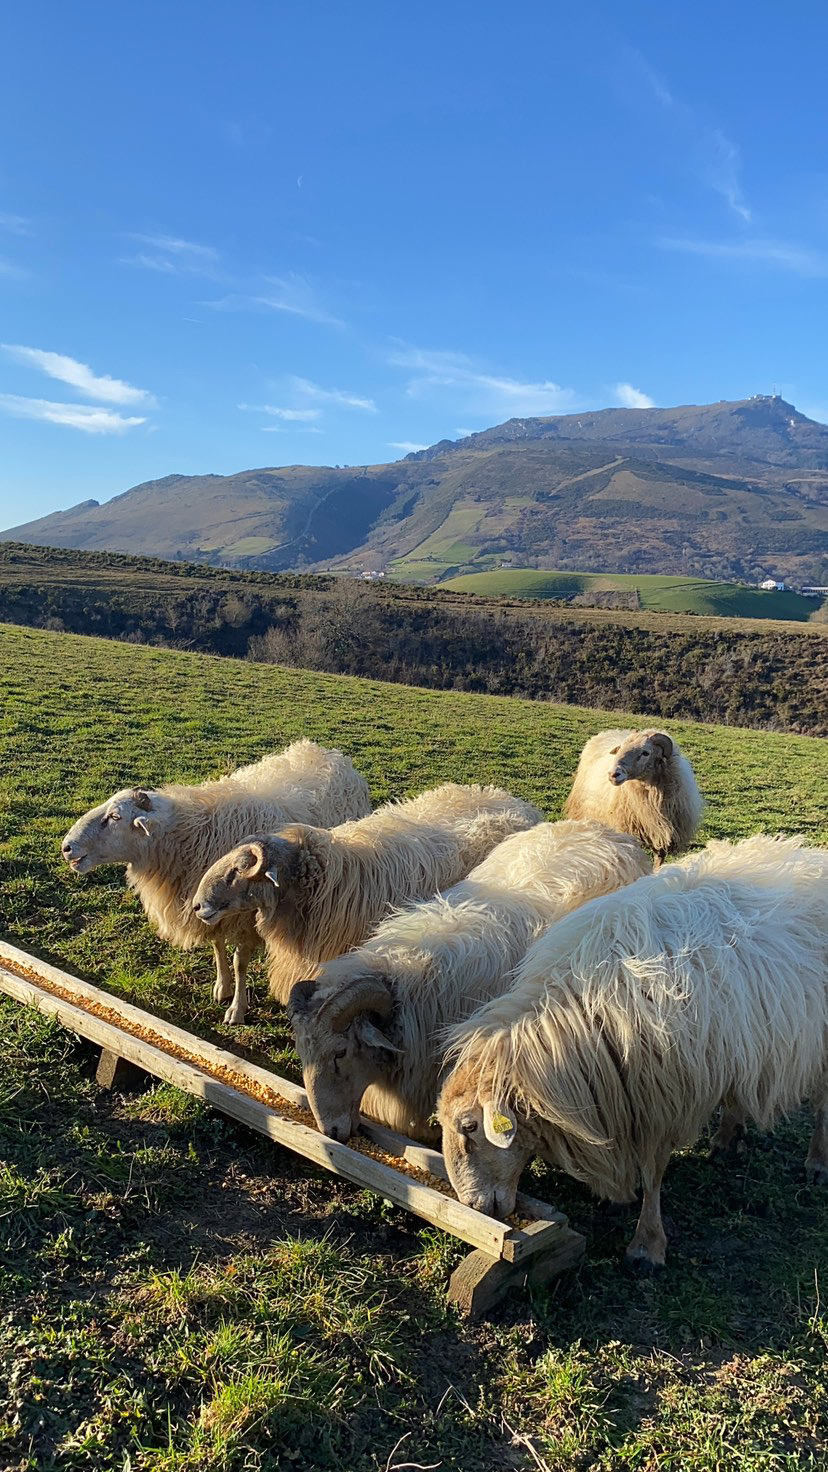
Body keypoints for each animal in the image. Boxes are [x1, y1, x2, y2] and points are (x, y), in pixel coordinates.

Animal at [62, 736, 372, 1024]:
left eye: (115, 817)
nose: (66, 847)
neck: (188, 834)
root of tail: (327, 753)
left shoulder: (247, 915)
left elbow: (239, 962)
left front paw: (237, 1009)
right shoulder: (212, 907)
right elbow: (217, 946)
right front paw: (222, 988)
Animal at [441, 836, 828, 1271]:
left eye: (470, 1127)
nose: (473, 1205)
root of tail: (813, 857)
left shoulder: (663, 1097)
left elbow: (653, 1171)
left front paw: (647, 1244)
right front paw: (617, 1200)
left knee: (822, 1101)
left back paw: (817, 1162)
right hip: (741, 1039)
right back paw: (728, 1136)